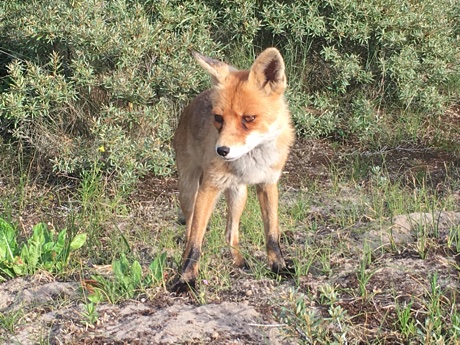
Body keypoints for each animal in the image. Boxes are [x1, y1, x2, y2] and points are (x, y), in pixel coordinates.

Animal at [172, 47, 294, 290]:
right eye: (218, 118)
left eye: (249, 118)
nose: (221, 150)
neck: (251, 160)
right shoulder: (209, 187)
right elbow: (195, 243)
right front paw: (186, 278)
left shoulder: (268, 183)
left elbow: (272, 235)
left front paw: (279, 267)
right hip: (189, 191)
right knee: (190, 230)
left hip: (239, 195)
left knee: (230, 233)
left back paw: (238, 261)